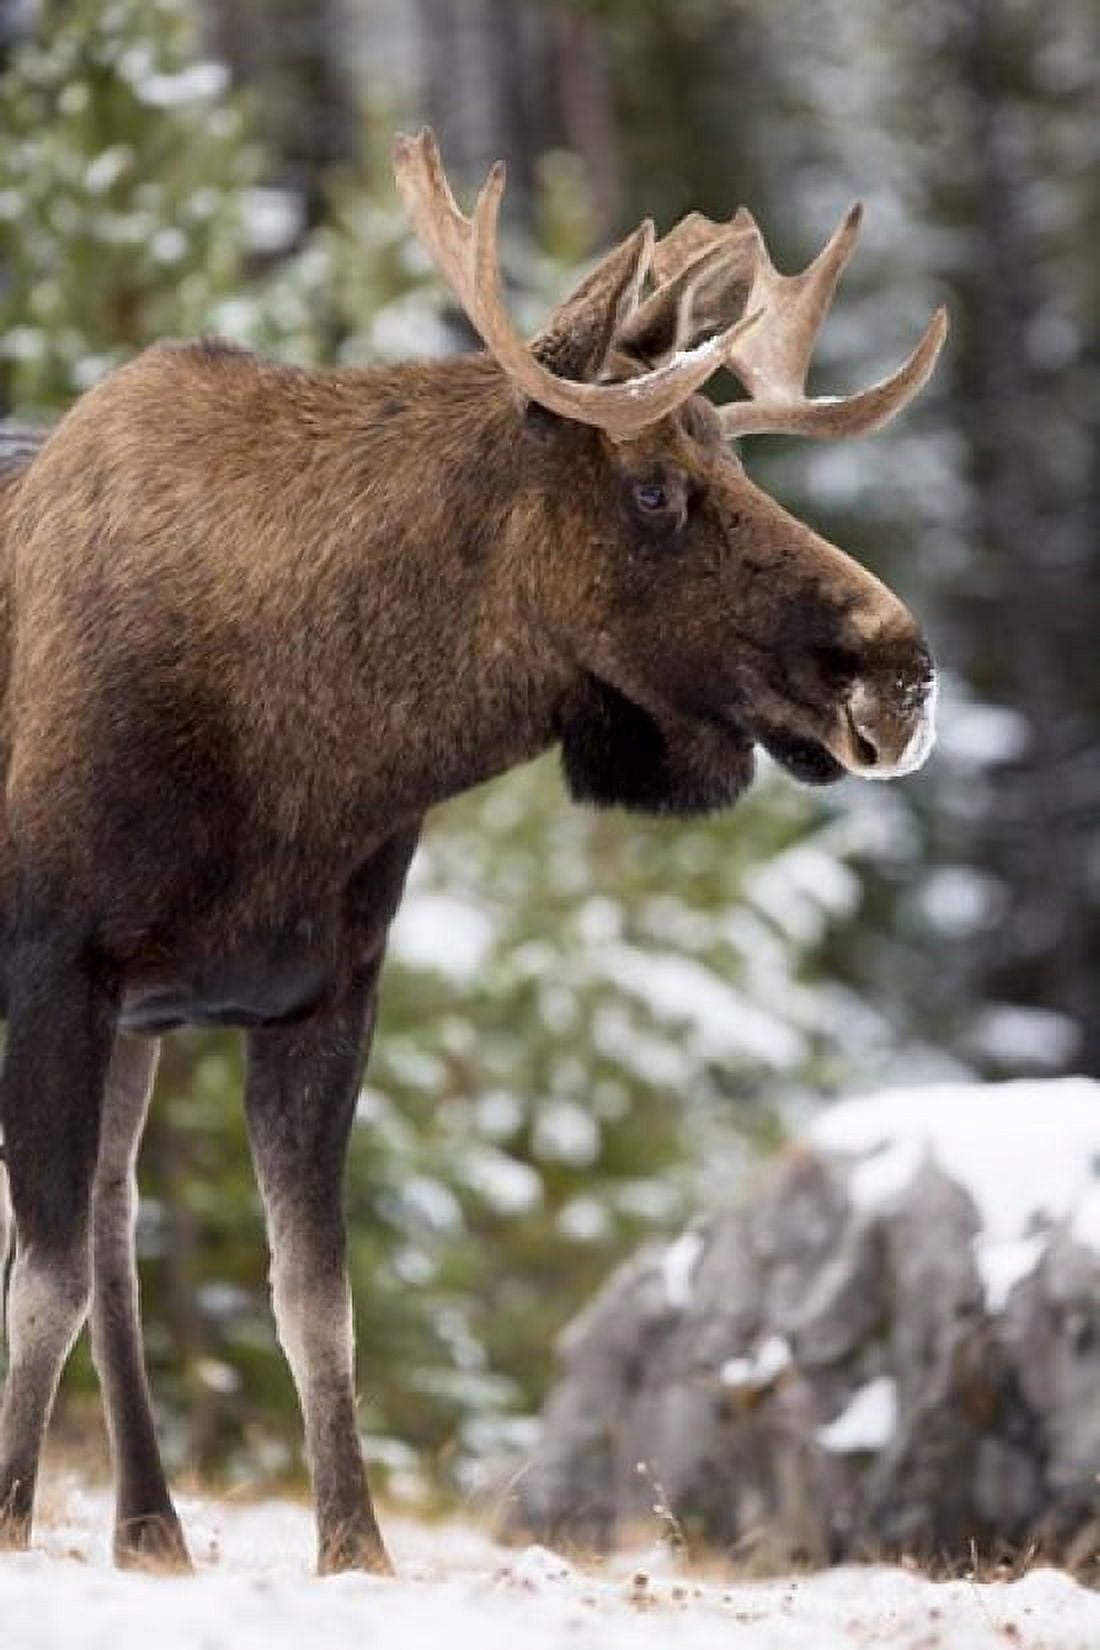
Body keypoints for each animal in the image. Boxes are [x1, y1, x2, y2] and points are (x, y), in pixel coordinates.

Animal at [0, 129, 945, 1575]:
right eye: (656, 488)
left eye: (740, 466)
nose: (900, 671)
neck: (309, 754)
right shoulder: (54, 964)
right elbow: (39, 1288)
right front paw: (4, 1519)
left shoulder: (317, 992)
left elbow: (310, 1299)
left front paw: (356, 1550)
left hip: (146, 1025)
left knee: (112, 1223)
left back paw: (151, 1525)